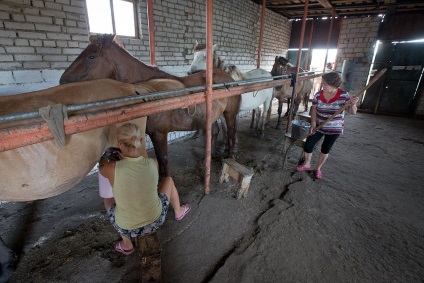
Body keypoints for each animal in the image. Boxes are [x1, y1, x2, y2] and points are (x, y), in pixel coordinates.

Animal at [60, 33, 240, 178]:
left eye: (91, 56)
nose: (62, 81)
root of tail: (228, 77)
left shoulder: (160, 133)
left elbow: (164, 160)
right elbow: (159, 162)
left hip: (229, 115)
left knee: (231, 133)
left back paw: (230, 159)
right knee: (214, 132)